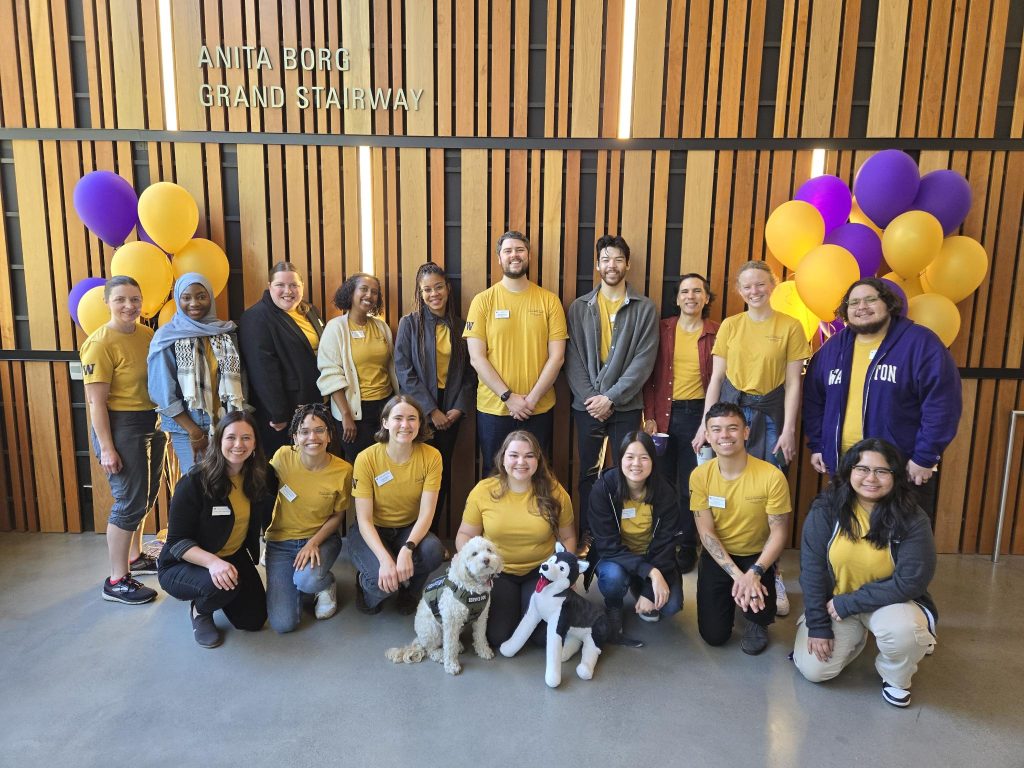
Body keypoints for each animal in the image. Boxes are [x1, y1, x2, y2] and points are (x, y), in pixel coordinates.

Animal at [385, 536, 503, 675]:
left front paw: (483, 650)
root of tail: (419, 640)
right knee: (431, 650)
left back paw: (459, 645)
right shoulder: (451, 622)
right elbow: (450, 646)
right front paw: (451, 665)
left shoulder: (481, 618)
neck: (472, 588)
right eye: (474, 554)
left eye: (489, 550)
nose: (486, 560)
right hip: (433, 630)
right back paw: (441, 654)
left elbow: (480, 635)